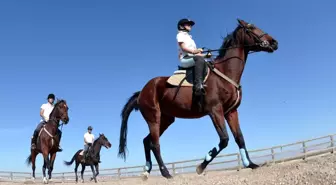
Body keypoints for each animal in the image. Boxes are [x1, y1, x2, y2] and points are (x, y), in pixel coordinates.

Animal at [117, 19, 278, 179]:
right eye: (251, 28)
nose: (274, 42)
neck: (225, 73)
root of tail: (142, 92)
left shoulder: (231, 112)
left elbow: (239, 138)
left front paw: (250, 164)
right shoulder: (215, 111)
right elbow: (224, 139)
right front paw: (201, 166)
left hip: (166, 119)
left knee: (147, 141)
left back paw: (146, 170)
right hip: (153, 118)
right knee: (155, 144)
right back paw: (166, 173)